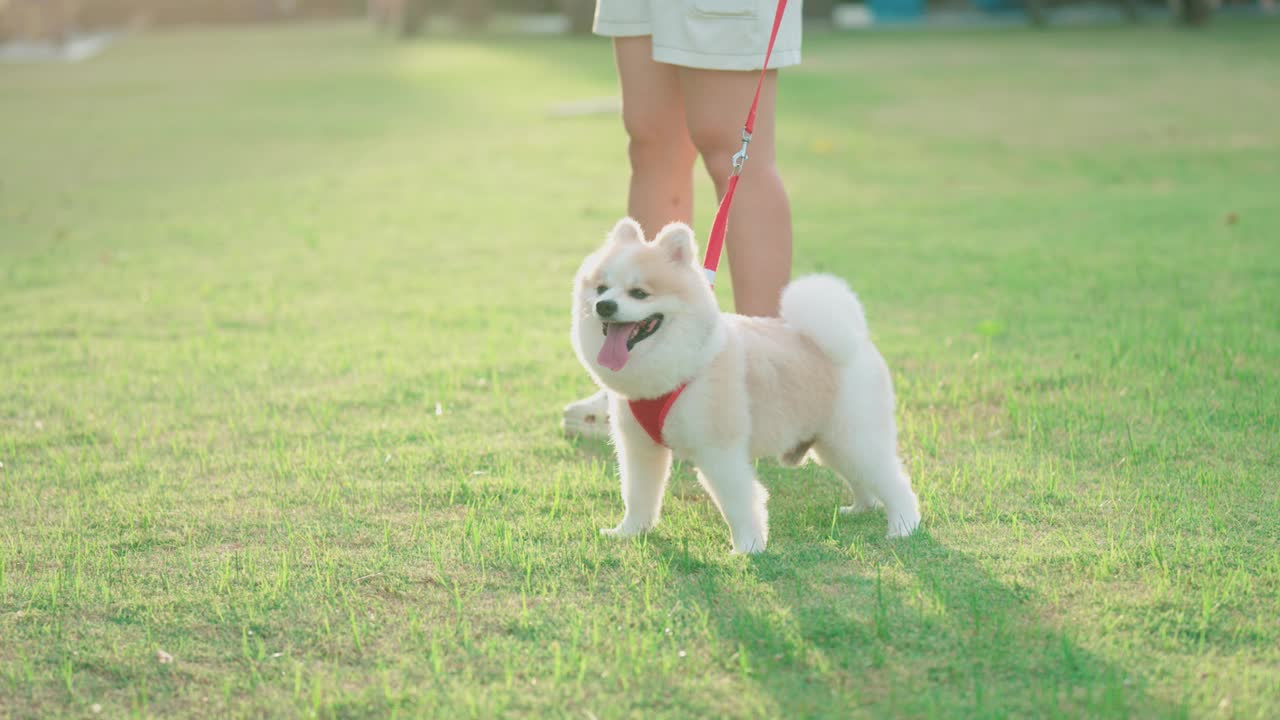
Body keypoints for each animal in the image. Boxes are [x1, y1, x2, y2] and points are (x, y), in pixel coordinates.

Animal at [573, 215, 921, 550]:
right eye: (601, 288)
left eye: (639, 293)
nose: (604, 305)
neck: (674, 370)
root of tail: (855, 340)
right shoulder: (639, 447)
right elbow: (638, 494)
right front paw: (629, 533)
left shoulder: (718, 451)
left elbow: (738, 502)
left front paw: (748, 547)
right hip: (832, 443)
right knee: (861, 478)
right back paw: (861, 508)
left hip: (855, 436)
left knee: (894, 482)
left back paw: (903, 527)